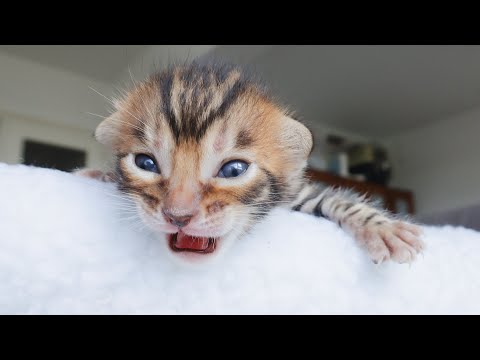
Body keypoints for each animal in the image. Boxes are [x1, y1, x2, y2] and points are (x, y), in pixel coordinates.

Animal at [76, 62, 424, 264]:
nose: (178, 215)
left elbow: (335, 199)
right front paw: (97, 174)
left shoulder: (296, 193)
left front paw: (383, 229)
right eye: (145, 163)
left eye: (233, 170)